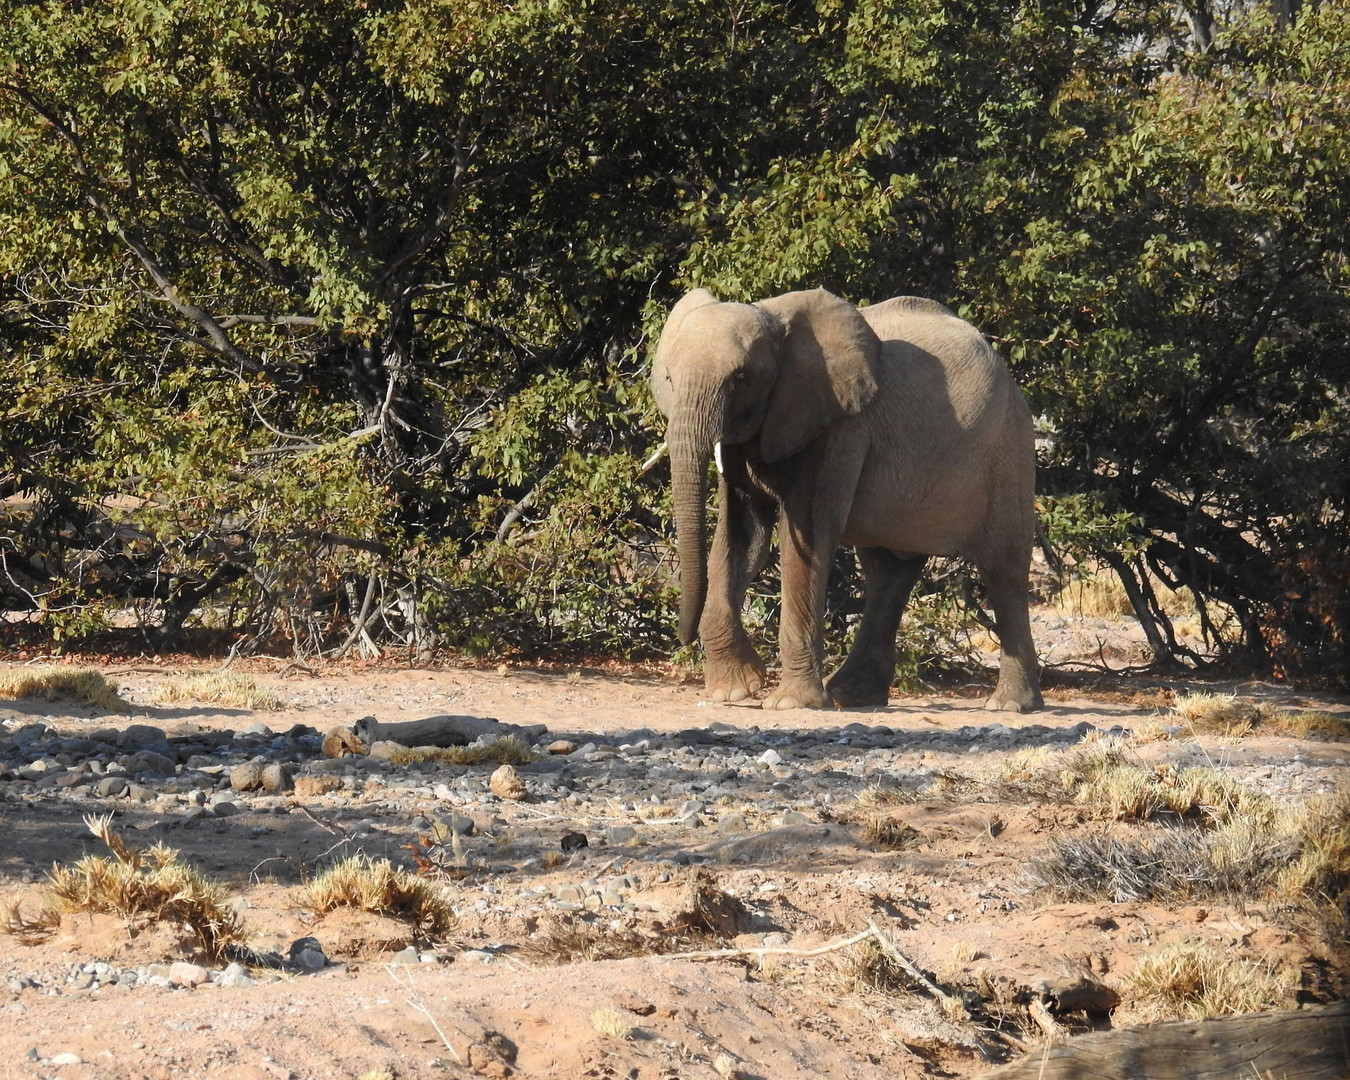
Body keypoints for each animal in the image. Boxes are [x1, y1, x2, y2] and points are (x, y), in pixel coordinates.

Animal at [650, 286, 1042, 712]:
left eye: (742, 378)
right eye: (668, 378)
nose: (681, 636)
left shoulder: (839, 426)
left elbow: (805, 540)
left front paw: (790, 703)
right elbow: (742, 538)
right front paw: (735, 690)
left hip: (1009, 449)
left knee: (1003, 568)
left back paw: (1010, 705)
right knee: (889, 571)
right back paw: (852, 696)